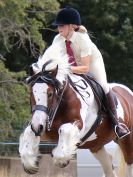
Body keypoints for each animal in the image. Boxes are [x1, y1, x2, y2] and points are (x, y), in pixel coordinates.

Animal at [18, 44, 133, 177]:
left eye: (50, 94)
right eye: (31, 93)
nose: (37, 127)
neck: (60, 104)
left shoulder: (79, 125)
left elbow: (64, 131)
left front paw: (62, 160)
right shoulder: (44, 128)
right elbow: (28, 134)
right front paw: (31, 163)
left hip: (127, 139)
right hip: (96, 146)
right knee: (109, 167)